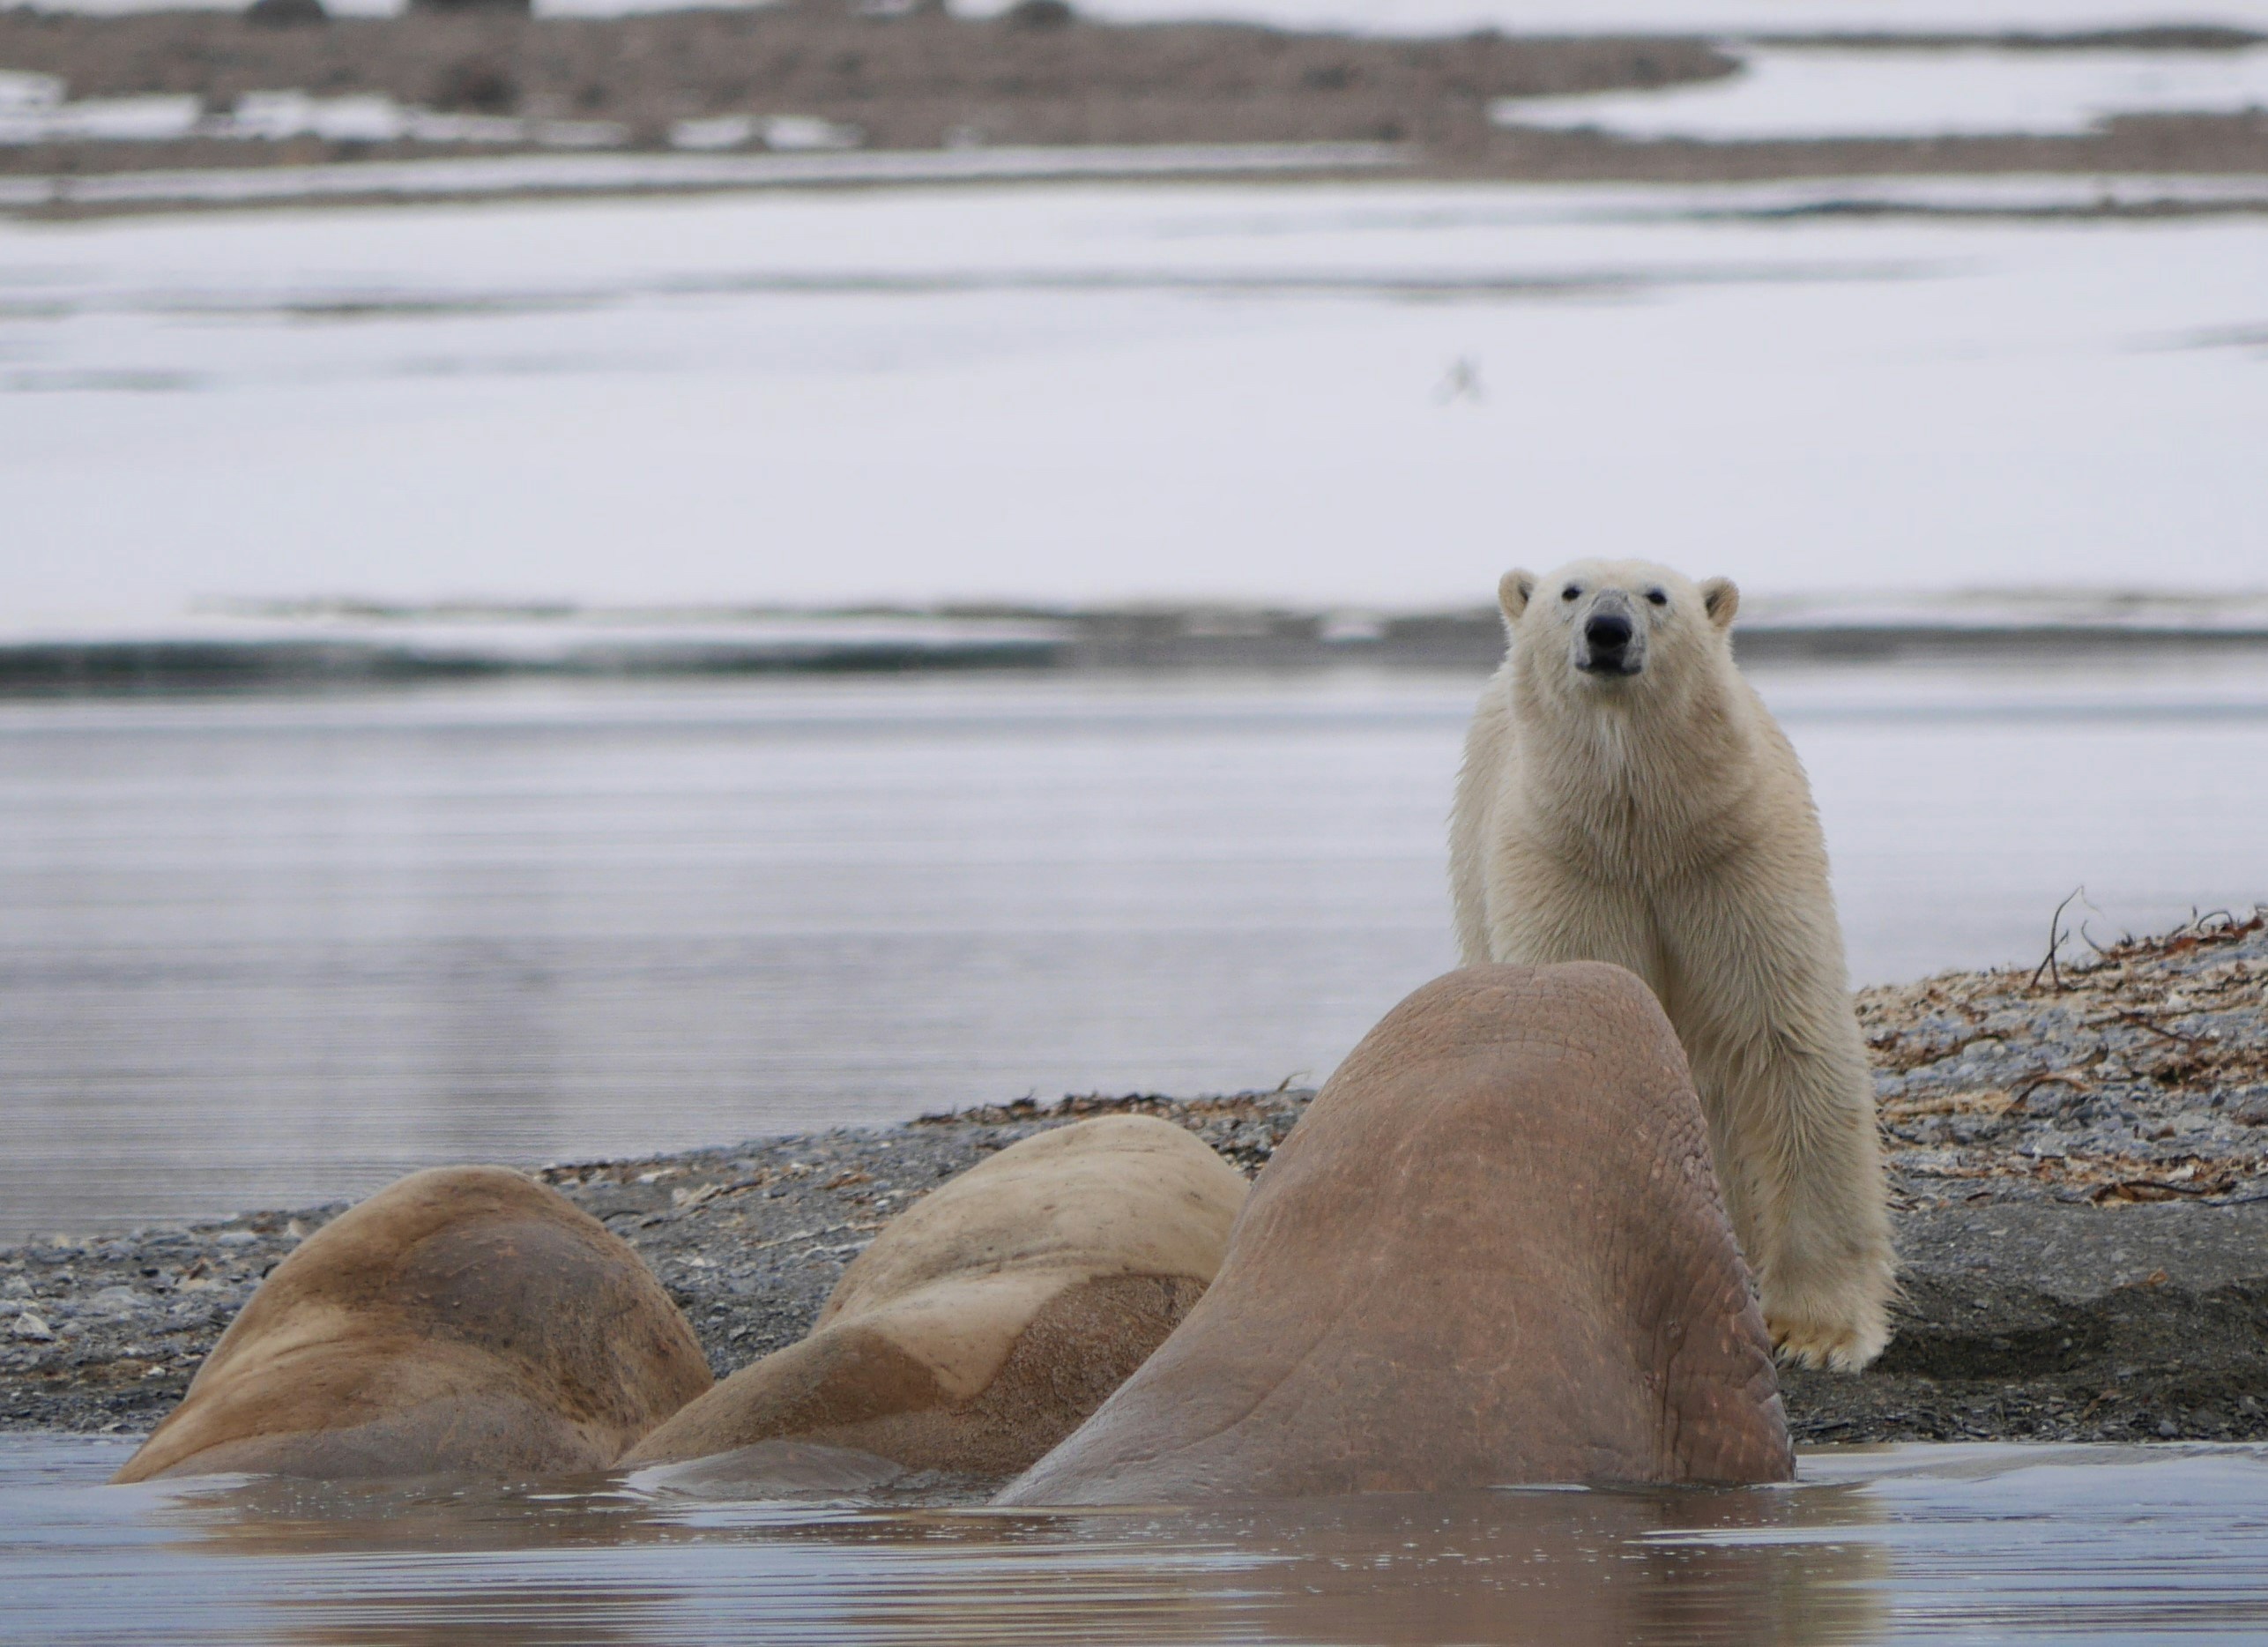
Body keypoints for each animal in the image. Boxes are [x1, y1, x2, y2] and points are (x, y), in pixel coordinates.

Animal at [1449, 558, 1894, 1372]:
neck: (1645, 831)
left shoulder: (1734, 861)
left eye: (1657, 595)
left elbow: (1786, 1042)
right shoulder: (1567, 867)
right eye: (1569, 591)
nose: (1607, 630)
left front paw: (1817, 1331)